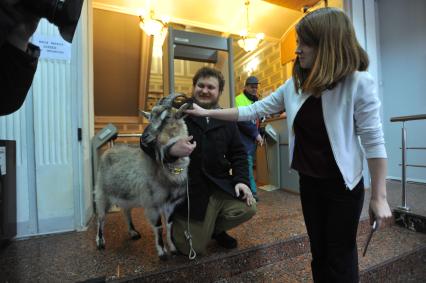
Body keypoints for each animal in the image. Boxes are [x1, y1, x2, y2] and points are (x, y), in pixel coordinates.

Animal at [95, 94, 191, 260]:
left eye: (167, 117)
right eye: (150, 117)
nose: (145, 137)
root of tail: (107, 151)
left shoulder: (171, 204)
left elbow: (169, 225)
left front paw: (173, 249)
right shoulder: (152, 202)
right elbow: (159, 226)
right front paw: (162, 252)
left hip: (125, 194)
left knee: (126, 211)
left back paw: (133, 232)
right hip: (103, 193)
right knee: (101, 218)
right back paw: (100, 242)